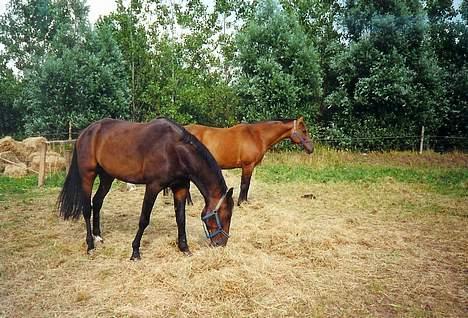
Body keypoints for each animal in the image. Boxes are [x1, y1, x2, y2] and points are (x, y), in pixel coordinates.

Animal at [57, 118, 234, 260]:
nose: (221, 244)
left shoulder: (180, 188)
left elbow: (181, 218)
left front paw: (184, 248)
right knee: (87, 208)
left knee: (97, 202)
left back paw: (98, 236)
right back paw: (90, 245)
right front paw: (135, 251)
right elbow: (144, 219)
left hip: (107, 177)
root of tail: (85, 132)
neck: (174, 150)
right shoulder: (153, 186)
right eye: (224, 215)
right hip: (88, 175)